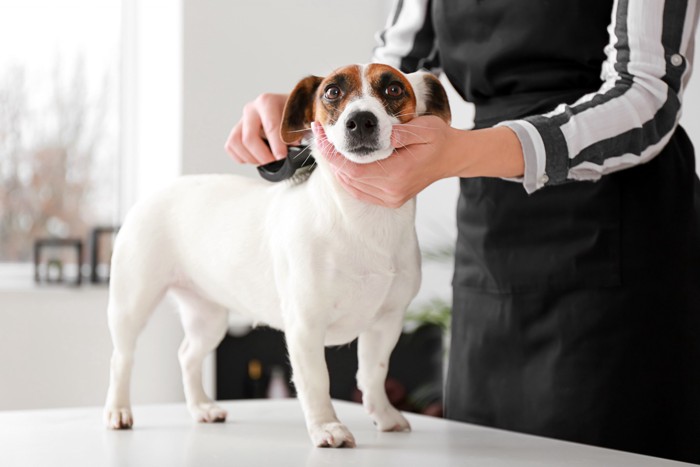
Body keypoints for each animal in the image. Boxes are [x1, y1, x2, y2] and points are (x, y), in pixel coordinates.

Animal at [104, 64, 454, 448]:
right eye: (332, 92)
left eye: (394, 89)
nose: (360, 121)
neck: (363, 220)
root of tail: (159, 190)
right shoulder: (305, 326)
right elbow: (317, 382)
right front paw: (327, 427)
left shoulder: (386, 324)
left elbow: (373, 374)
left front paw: (385, 415)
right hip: (131, 304)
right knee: (122, 359)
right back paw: (118, 411)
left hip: (207, 318)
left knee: (188, 356)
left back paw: (201, 407)